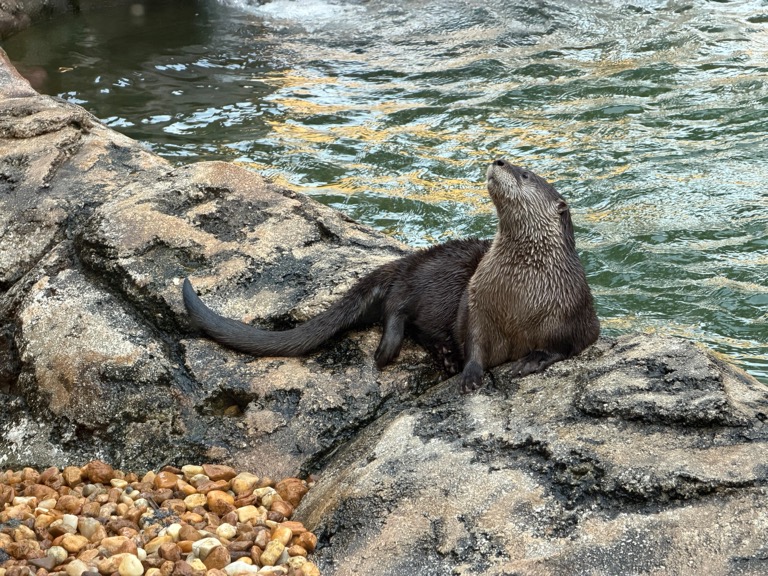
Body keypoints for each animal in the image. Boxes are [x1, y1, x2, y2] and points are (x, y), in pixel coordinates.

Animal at [182, 160, 599, 392]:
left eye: (525, 174)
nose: (499, 159)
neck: (520, 294)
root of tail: (409, 260)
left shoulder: (575, 313)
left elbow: (568, 345)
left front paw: (532, 359)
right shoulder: (478, 305)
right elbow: (475, 344)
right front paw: (469, 375)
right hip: (441, 277)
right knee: (398, 304)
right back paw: (398, 350)